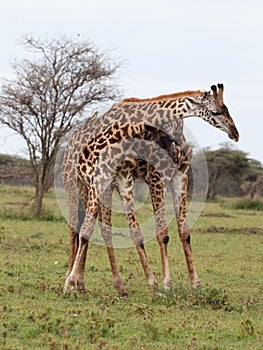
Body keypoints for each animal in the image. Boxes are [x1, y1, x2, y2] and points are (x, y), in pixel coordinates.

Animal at [63, 84, 239, 296]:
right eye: (215, 111)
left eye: (227, 108)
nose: (235, 133)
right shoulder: (154, 178)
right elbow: (161, 234)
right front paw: (166, 283)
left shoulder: (180, 177)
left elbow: (184, 232)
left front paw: (195, 283)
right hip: (75, 183)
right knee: (76, 227)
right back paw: (72, 279)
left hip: (95, 187)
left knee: (95, 228)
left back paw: (88, 284)